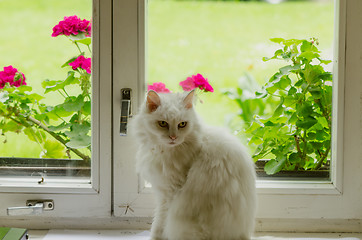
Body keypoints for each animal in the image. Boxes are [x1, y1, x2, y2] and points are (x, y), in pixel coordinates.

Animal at [132, 90, 256, 240]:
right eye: (162, 123)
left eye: (182, 124)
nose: (173, 137)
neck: (163, 150)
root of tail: (243, 235)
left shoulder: (168, 193)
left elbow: (160, 222)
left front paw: (155, 237)